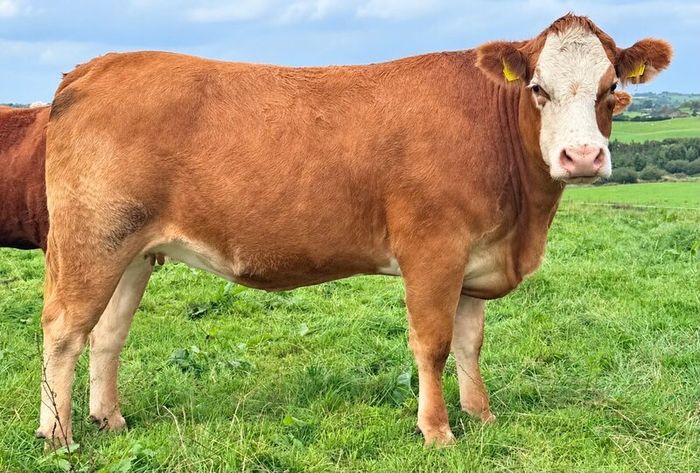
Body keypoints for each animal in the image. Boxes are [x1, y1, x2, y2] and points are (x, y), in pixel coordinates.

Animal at [37, 14, 671, 446]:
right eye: (538, 88)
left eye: (611, 88)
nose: (582, 157)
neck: (522, 222)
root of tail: (96, 66)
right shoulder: (433, 250)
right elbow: (433, 343)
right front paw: (437, 431)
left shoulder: (477, 258)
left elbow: (470, 342)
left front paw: (482, 415)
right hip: (90, 242)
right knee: (64, 331)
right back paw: (58, 435)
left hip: (133, 251)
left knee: (107, 334)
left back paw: (110, 419)